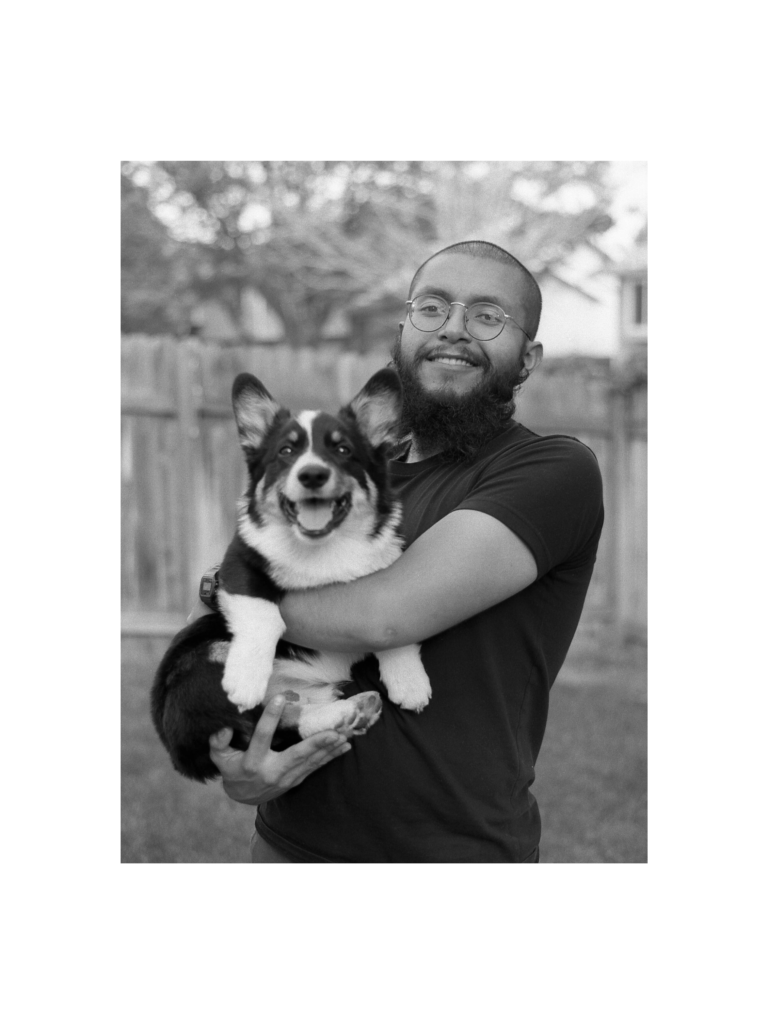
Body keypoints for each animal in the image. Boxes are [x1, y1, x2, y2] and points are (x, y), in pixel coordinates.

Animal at [150, 372, 434, 778]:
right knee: (264, 724)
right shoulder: (239, 565)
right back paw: (341, 711)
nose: (312, 474)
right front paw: (245, 678)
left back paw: (351, 708)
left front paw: (409, 682)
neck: (324, 546)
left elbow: (398, 632)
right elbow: (263, 617)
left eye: (343, 449)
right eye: (286, 451)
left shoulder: (389, 576)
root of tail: (180, 754)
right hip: (202, 662)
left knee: (281, 713)